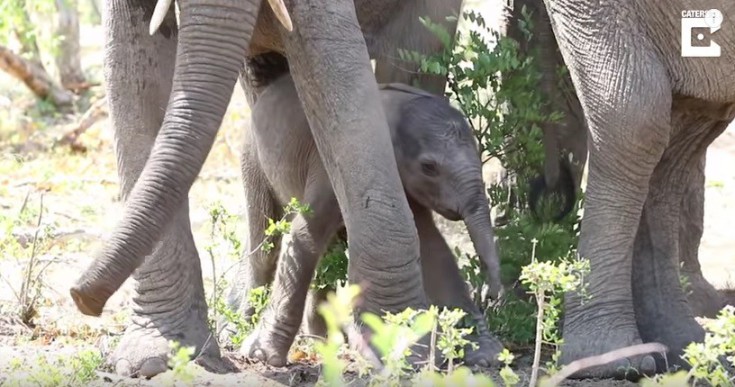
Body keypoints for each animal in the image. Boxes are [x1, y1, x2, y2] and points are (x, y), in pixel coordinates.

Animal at [233, 74, 504, 368]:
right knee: (266, 247)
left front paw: (487, 356)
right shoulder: (330, 166)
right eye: (429, 168)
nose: (493, 292)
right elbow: (305, 234)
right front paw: (262, 356)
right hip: (251, 156)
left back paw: (325, 342)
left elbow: (434, 249)